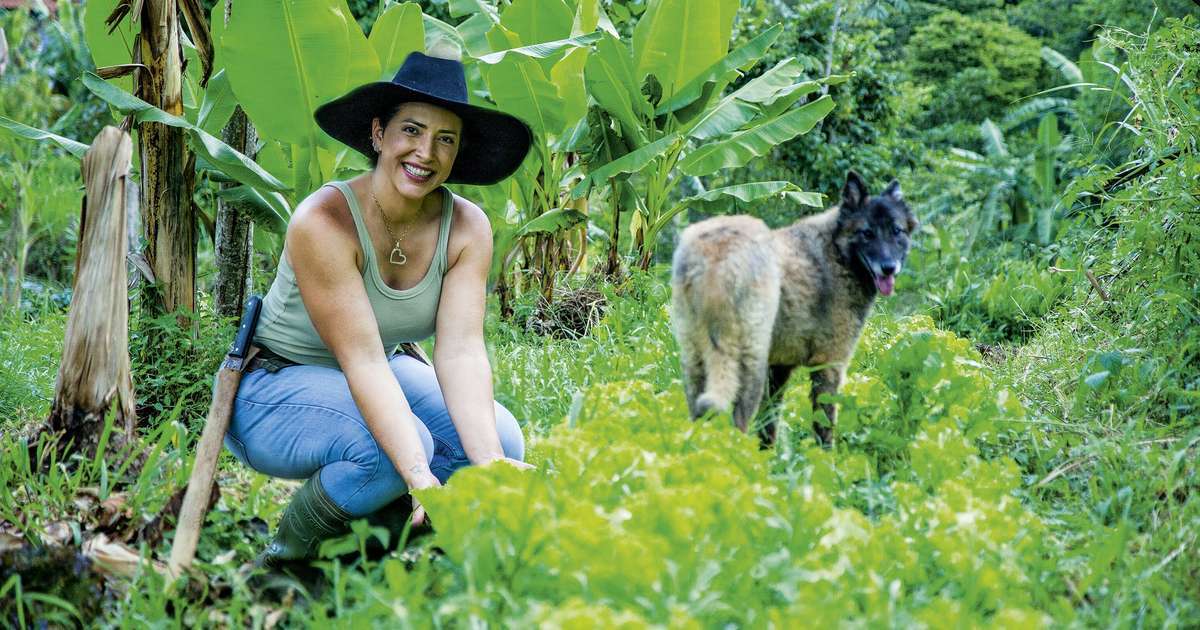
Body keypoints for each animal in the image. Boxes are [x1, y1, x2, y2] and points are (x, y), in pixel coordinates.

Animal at [672, 171, 912, 444]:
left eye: (897, 231)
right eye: (867, 233)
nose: (889, 267)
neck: (836, 253)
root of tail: (718, 255)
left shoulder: (779, 368)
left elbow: (768, 427)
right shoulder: (829, 364)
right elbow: (823, 425)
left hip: (696, 361)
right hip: (748, 364)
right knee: (738, 421)